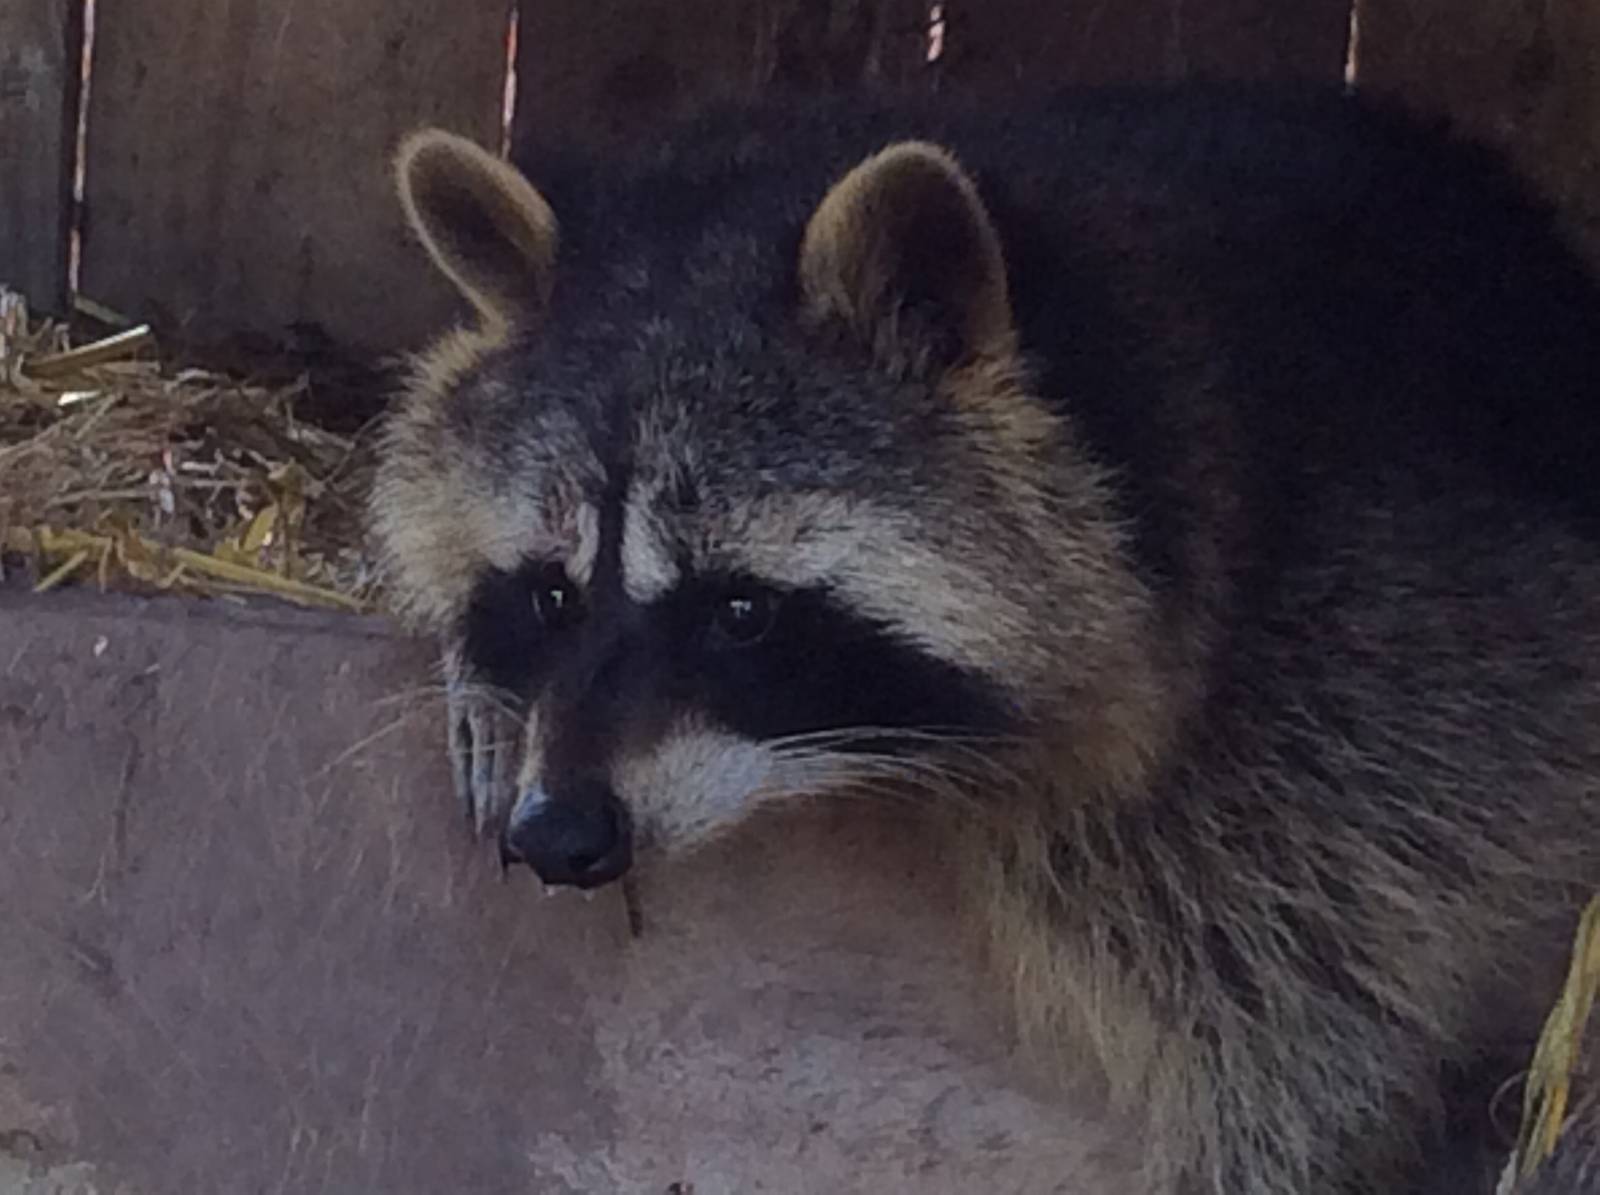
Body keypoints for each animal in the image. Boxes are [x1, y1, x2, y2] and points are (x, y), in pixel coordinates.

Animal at [369, 82, 1600, 1194]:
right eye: (552, 596)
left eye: (741, 612)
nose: (561, 833)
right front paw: (481, 681)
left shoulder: (1352, 695)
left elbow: (1303, 1032)